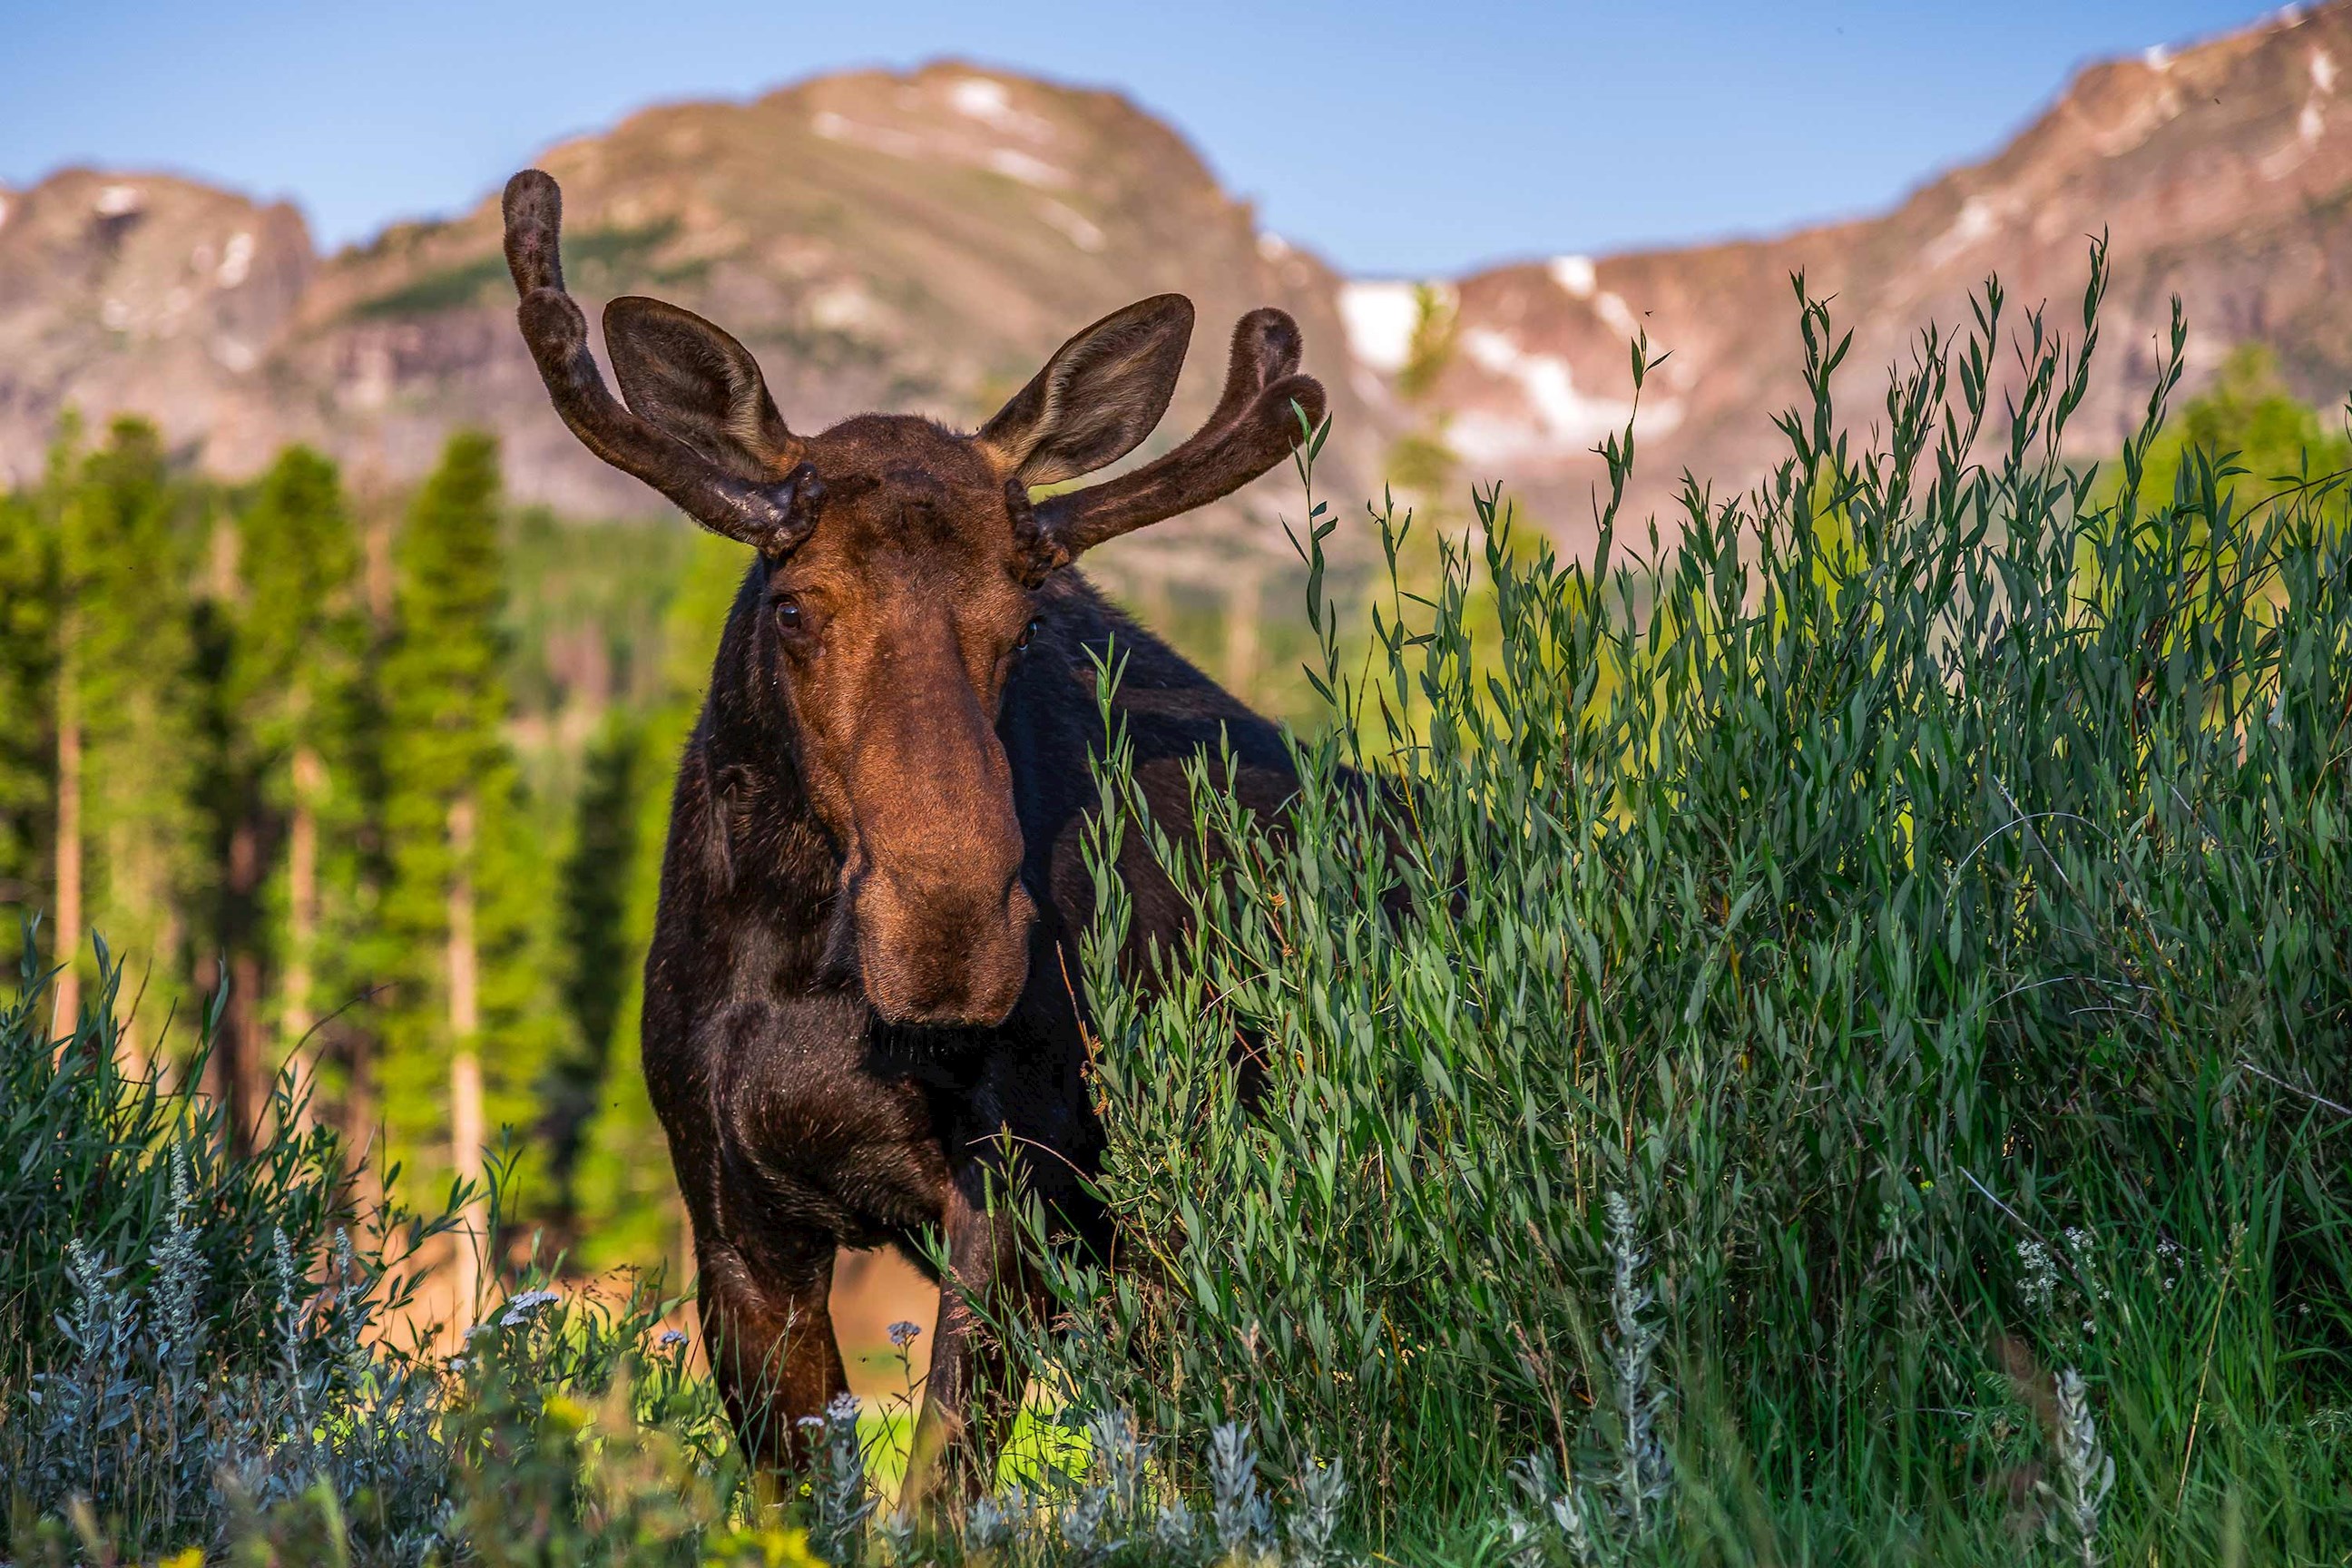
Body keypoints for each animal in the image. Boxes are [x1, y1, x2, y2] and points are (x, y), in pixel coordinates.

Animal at [500, 169, 1327, 1499]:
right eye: (794, 604)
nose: (946, 935)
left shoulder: (1028, 1189)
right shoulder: (733, 1218)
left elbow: (935, 1498)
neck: (806, 973)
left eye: (1024, 616)